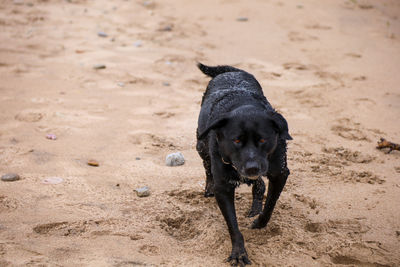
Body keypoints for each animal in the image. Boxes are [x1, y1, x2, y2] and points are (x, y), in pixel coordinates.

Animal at [196, 62, 292, 266]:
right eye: (236, 140)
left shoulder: (280, 173)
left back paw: (255, 207)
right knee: (207, 166)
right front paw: (239, 253)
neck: (242, 104)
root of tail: (233, 72)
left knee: (259, 185)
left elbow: (270, 204)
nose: (252, 168)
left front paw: (259, 222)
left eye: (263, 140)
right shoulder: (223, 187)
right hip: (200, 145)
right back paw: (208, 188)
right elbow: (233, 225)